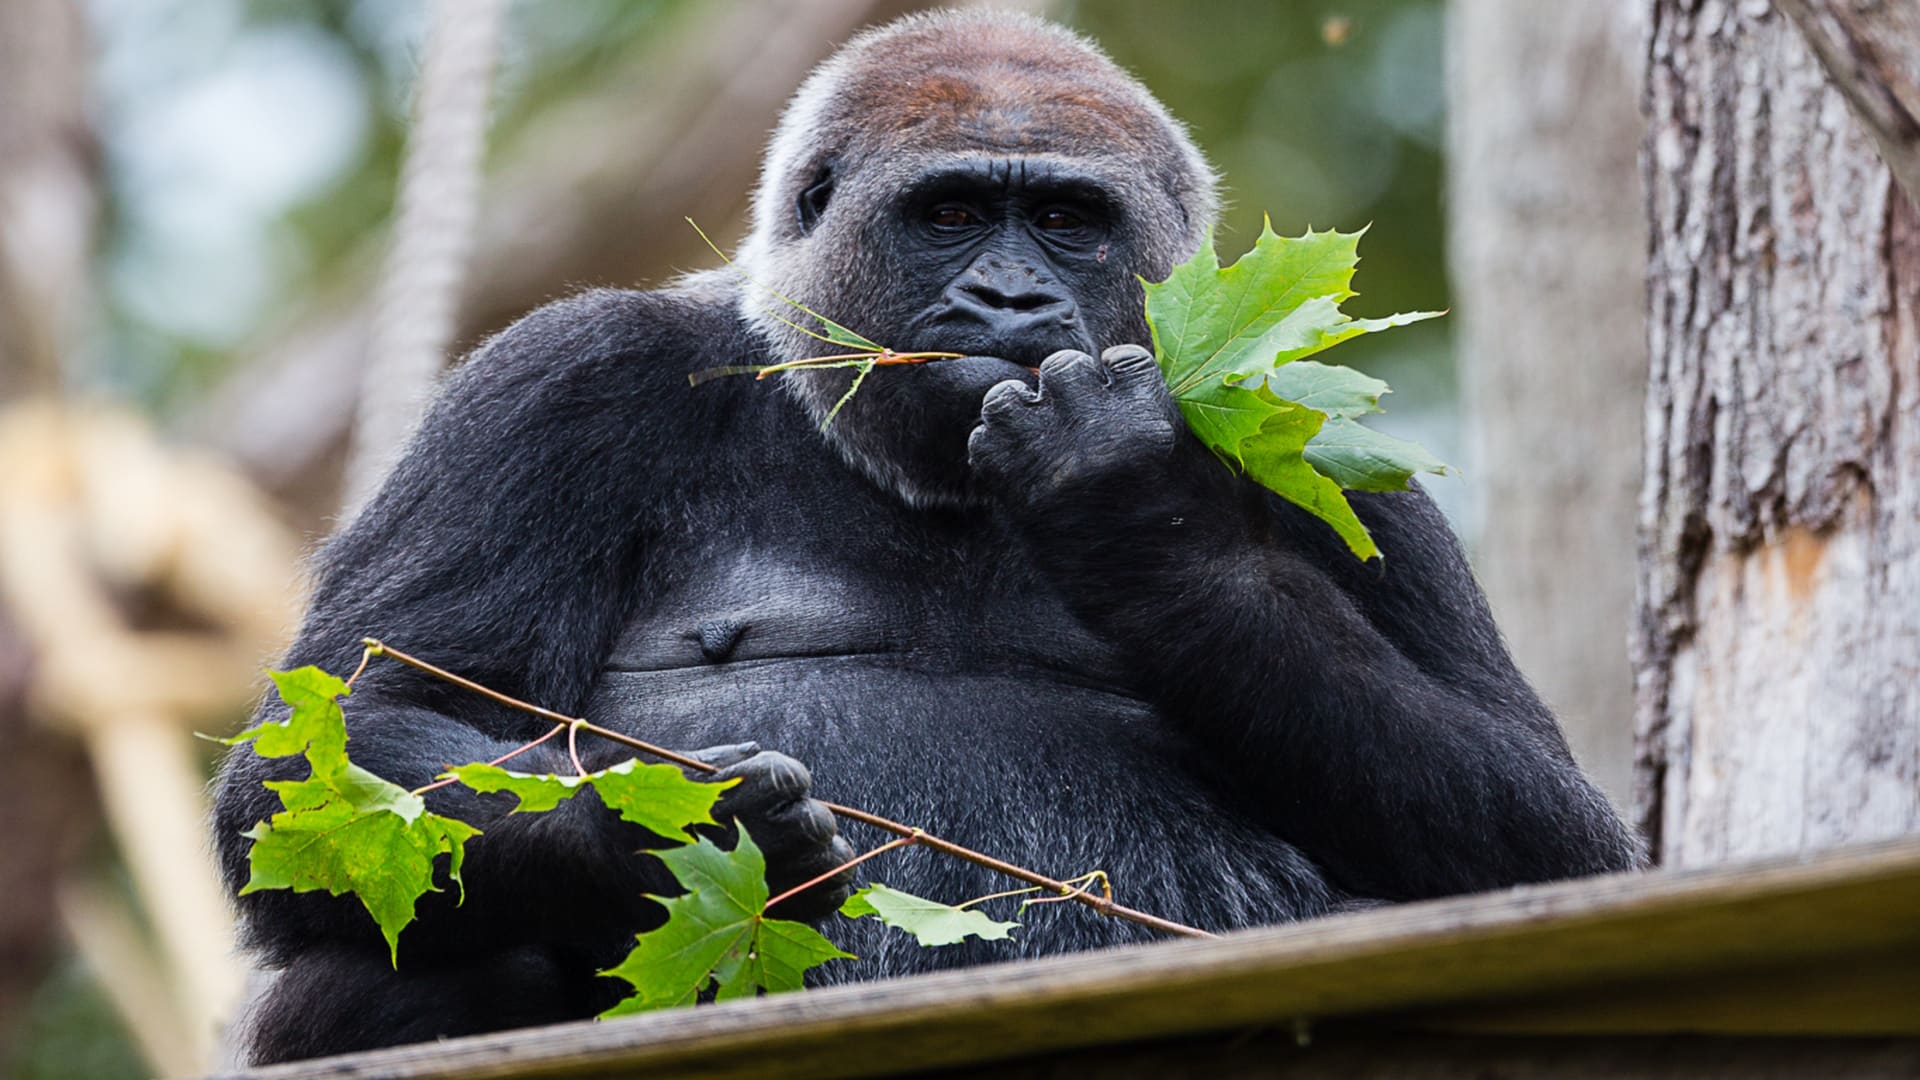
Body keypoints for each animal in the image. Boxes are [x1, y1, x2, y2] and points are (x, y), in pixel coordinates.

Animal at [220, 12, 1635, 1060]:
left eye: (1066, 221)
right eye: (950, 213)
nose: (1006, 299)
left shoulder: (1344, 466)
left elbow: (1549, 837)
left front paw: (1144, 518)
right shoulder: (556, 383)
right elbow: (349, 738)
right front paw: (648, 846)